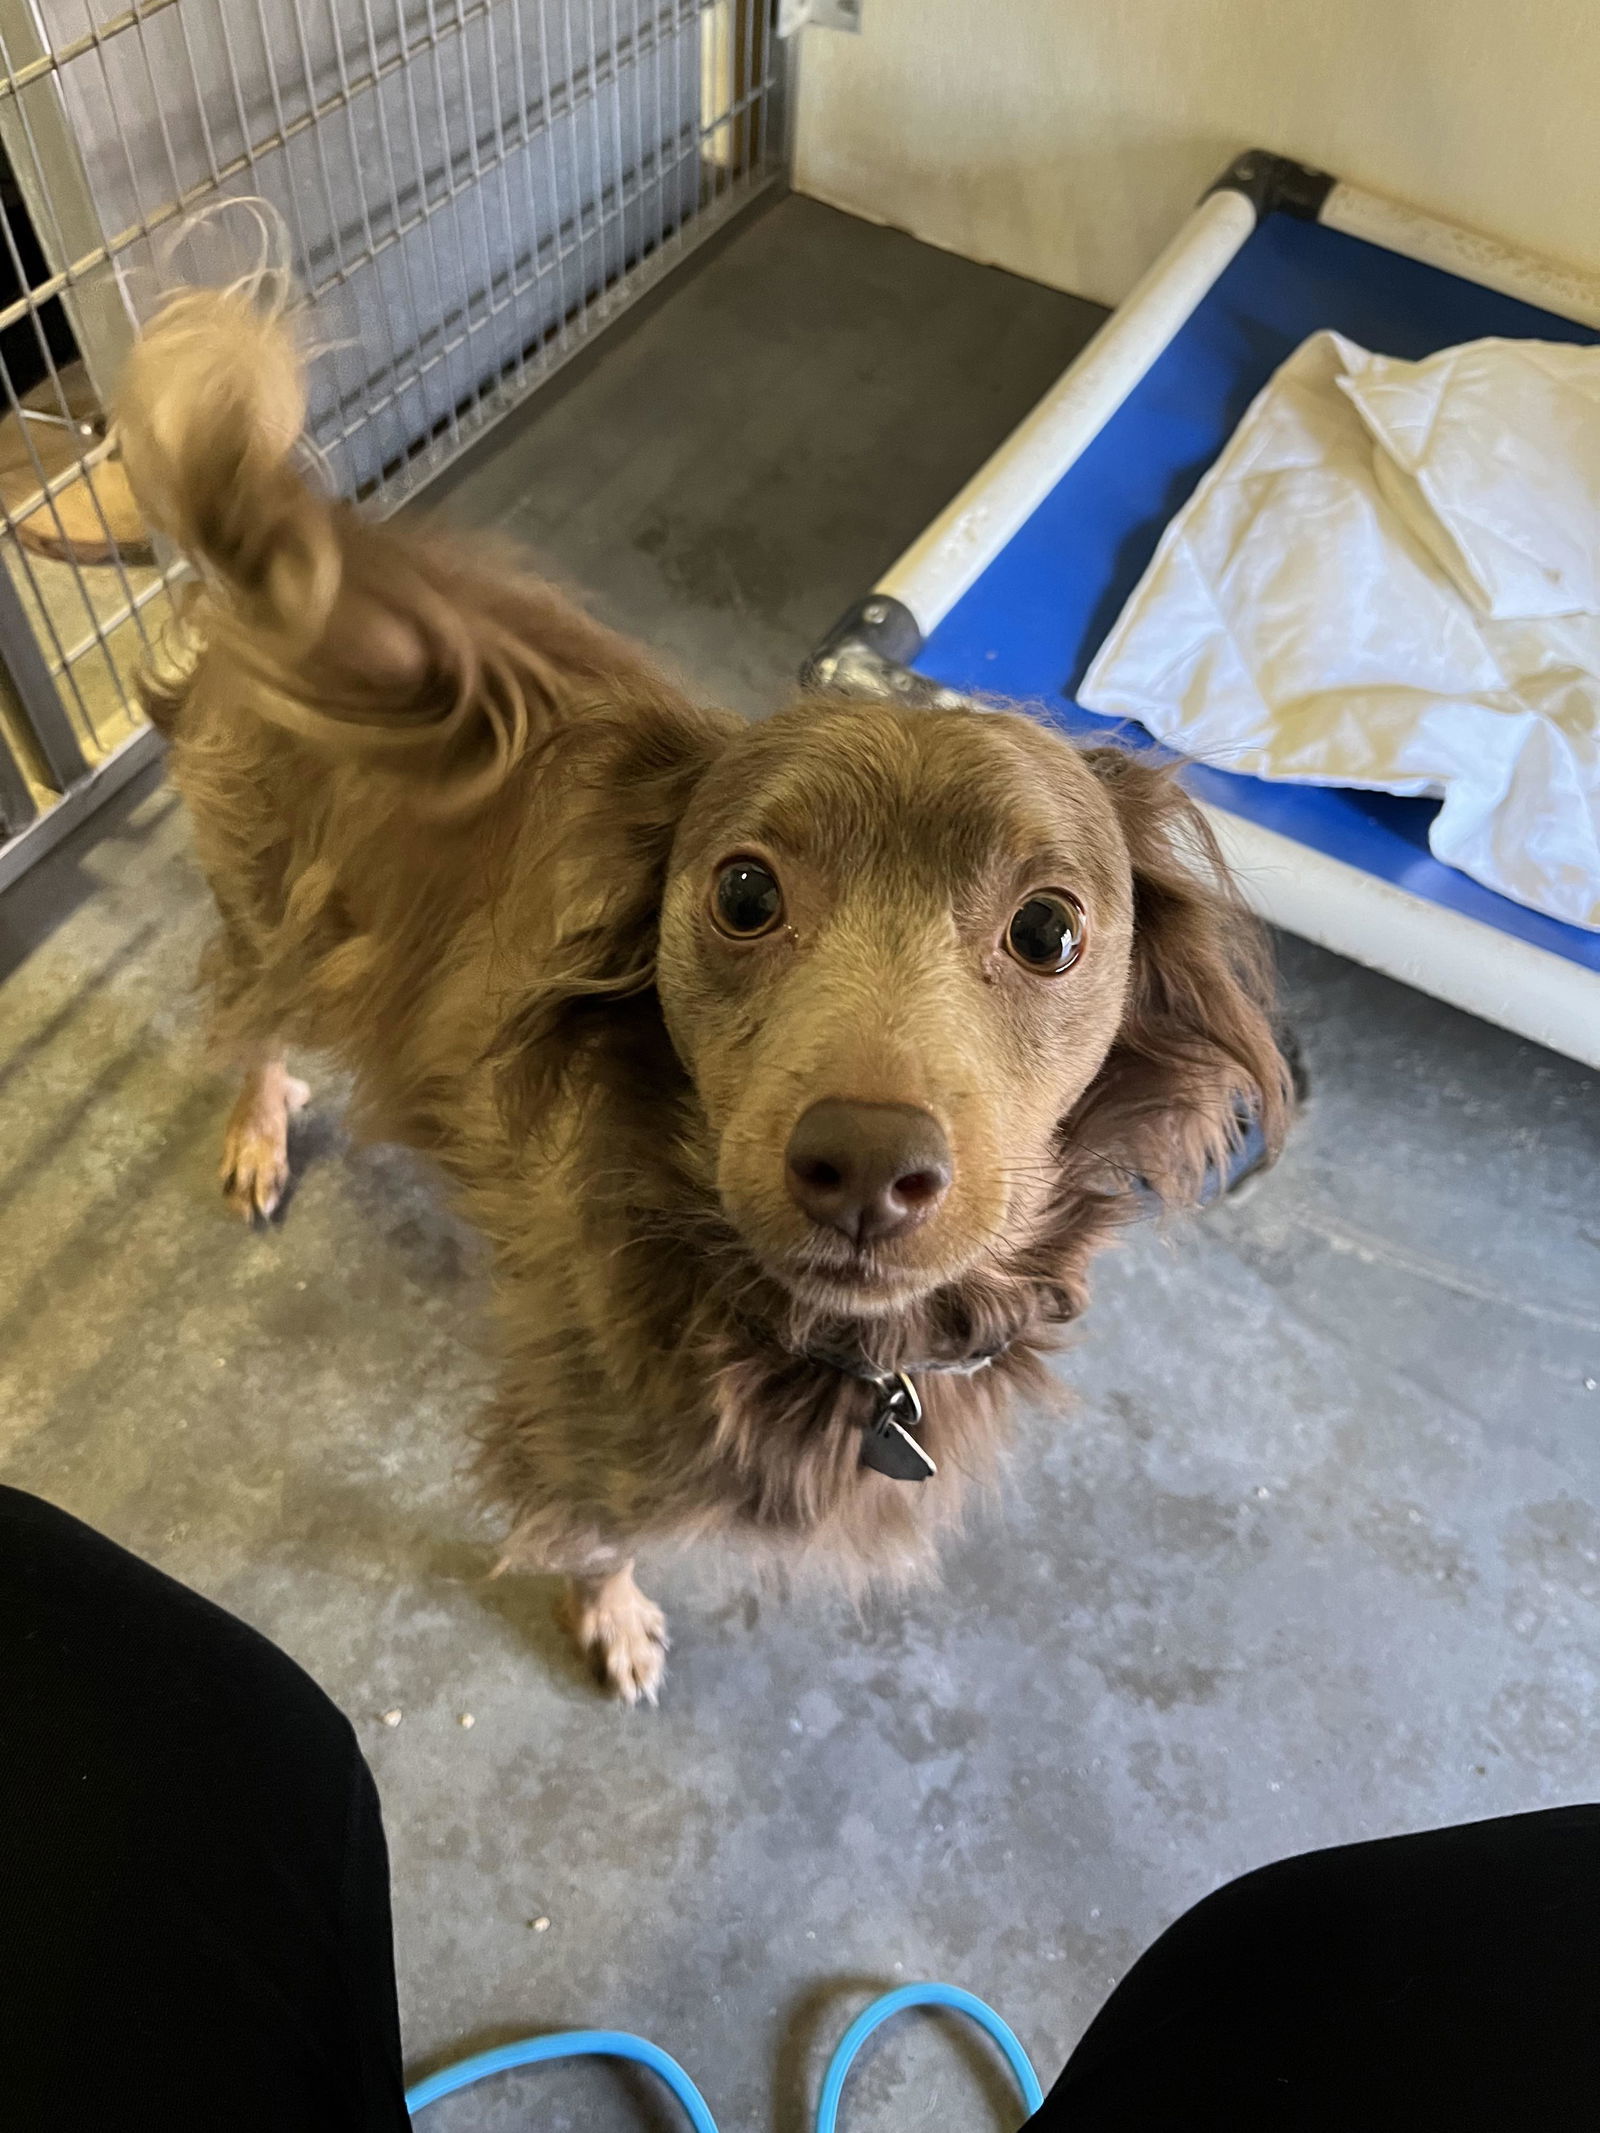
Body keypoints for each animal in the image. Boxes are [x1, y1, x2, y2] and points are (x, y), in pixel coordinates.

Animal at [115, 283, 1288, 1697]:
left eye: (1050, 929)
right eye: (741, 893)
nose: (863, 1168)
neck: (832, 1347)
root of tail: (300, 547)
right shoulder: (579, 1421)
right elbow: (596, 1533)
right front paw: (613, 1618)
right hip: (267, 908)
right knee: (253, 1025)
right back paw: (258, 1132)